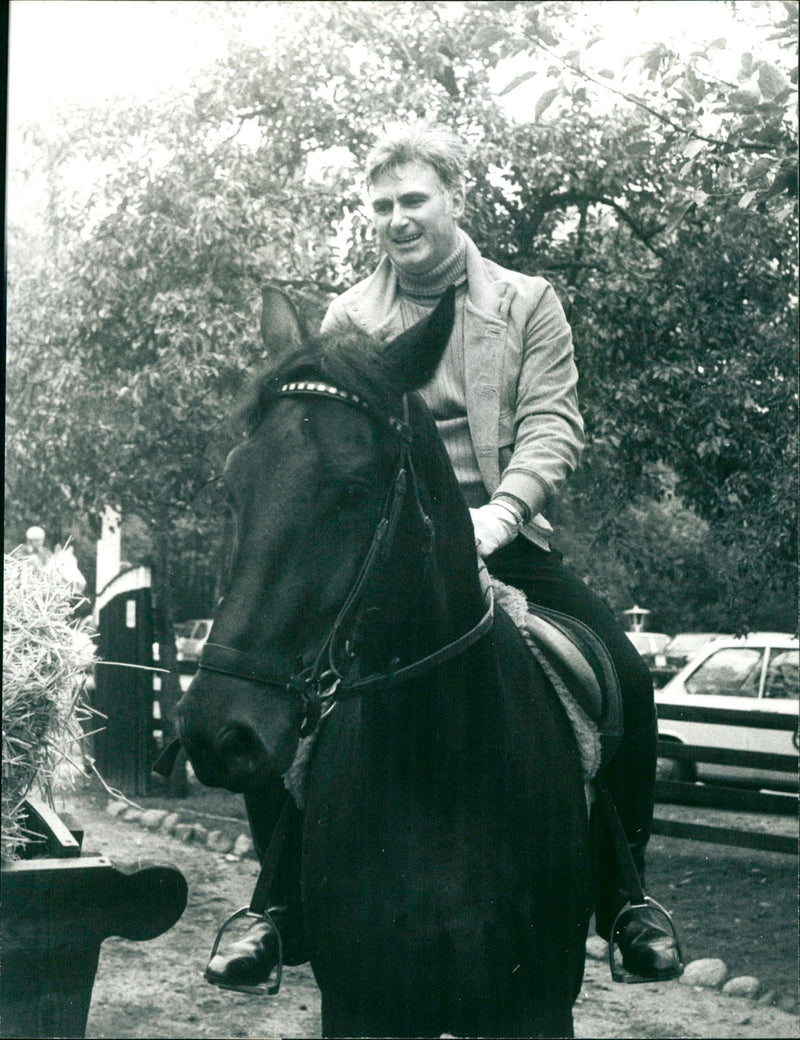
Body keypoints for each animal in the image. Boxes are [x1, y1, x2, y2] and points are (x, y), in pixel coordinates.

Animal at [177, 287, 590, 1040]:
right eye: (233, 486)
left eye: (353, 489)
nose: (217, 731)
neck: (442, 771)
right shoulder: (362, 1006)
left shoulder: (537, 1006)